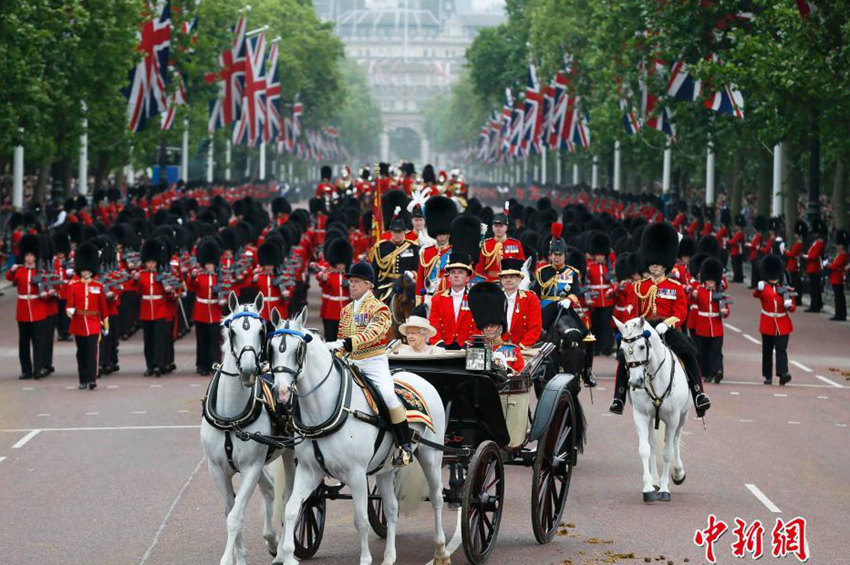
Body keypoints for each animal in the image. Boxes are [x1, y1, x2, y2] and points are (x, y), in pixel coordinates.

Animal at [266, 306, 450, 564]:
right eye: (271, 348)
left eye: (298, 350)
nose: (281, 392)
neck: (328, 410)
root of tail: (419, 378)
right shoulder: (309, 470)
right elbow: (292, 509)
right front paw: (288, 556)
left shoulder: (356, 474)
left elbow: (361, 520)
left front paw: (365, 559)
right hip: (385, 469)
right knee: (392, 508)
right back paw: (389, 557)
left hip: (431, 456)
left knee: (436, 498)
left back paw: (441, 550)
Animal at [612, 318, 692, 502]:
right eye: (622, 349)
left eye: (642, 346)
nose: (635, 382)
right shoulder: (641, 416)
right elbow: (645, 449)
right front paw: (648, 488)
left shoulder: (672, 418)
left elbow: (668, 452)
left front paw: (664, 489)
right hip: (651, 419)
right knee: (654, 445)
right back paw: (655, 480)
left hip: (682, 416)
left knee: (675, 441)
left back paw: (678, 473)